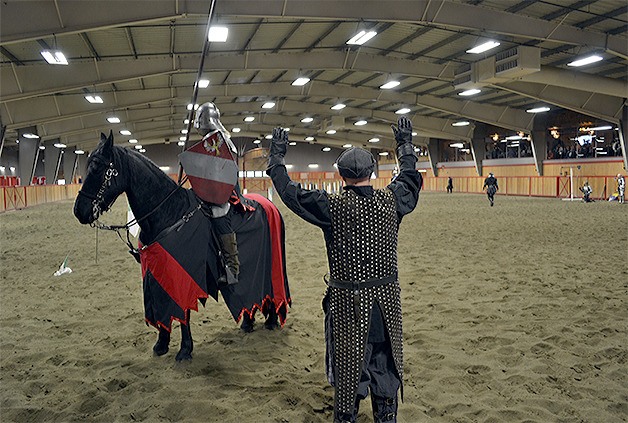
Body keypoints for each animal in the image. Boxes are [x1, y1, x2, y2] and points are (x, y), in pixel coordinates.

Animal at [75, 132, 290, 362]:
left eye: (97, 167)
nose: (79, 210)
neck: (169, 213)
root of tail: (270, 205)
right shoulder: (156, 273)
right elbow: (162, 306)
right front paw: (161, 343)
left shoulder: (184, 275)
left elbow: (183, 310)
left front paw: (185, 349)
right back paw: (248, 322)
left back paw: (271, 320)